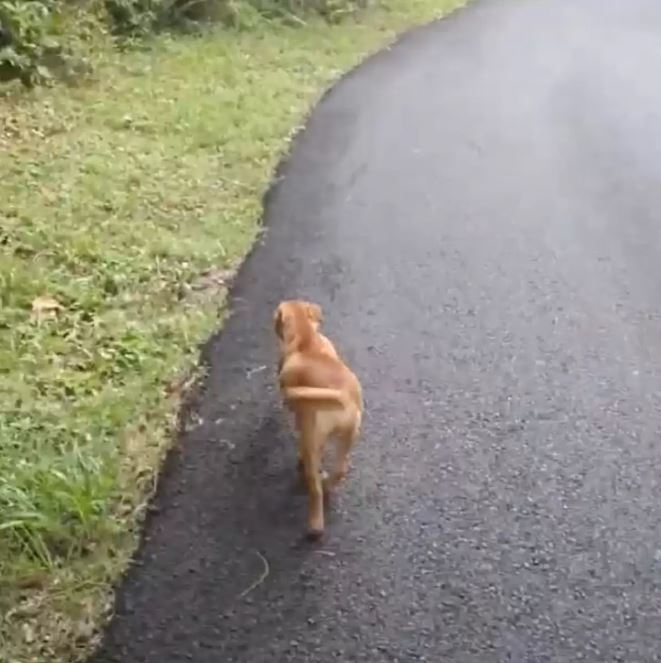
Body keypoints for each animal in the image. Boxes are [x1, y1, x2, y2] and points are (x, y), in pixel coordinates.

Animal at [274, 300, 364, 540]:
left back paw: (315, 524)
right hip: (348, 435)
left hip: (312, 437)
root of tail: (344, 398)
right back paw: (328, 484)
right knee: (340, 469)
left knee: (313, 484)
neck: (307, 341)